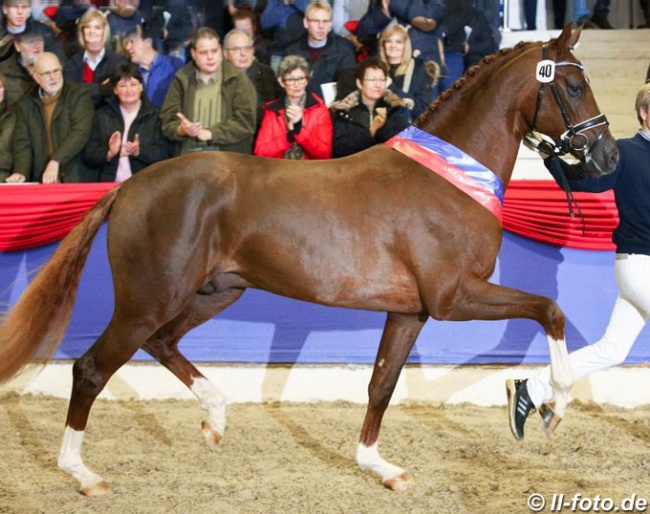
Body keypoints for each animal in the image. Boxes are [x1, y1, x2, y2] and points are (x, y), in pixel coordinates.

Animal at [1, 26, 616, 494]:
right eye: (573, 84)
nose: (607, 156)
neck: (449, 180)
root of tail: (128, 188)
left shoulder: (411, 311)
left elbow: (381, 384)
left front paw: (379, 467)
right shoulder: (453, 296)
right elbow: (551, 310)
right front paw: (547, 405)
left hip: (214, 292)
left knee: (162, 344)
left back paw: (215, 419)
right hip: (149, 298)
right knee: (92, 368)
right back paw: (83, 473)